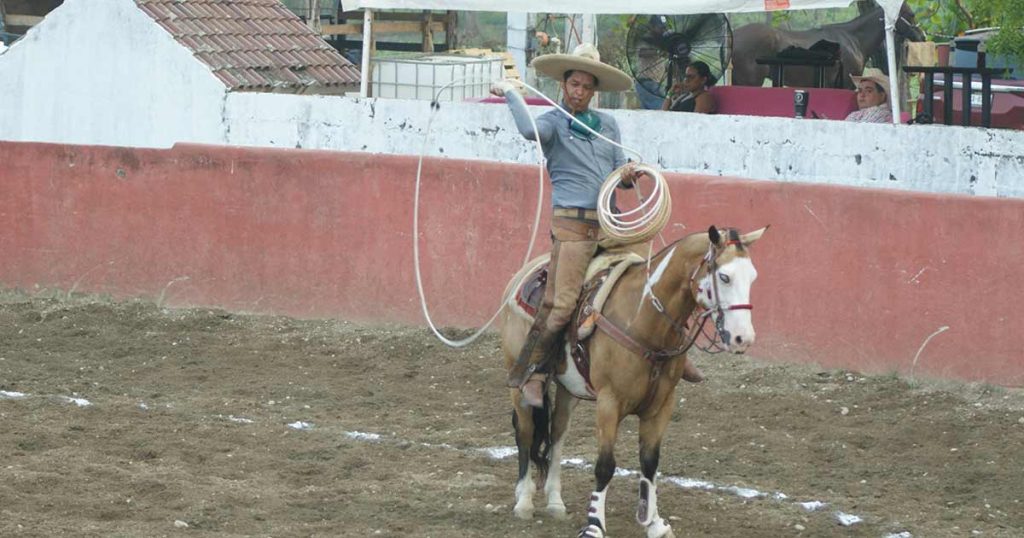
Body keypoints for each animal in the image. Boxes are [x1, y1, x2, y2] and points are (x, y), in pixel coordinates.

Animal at [499, 224, 765, 536]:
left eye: (753, 276)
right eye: (724, 276)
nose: (743, 338)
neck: (644, 321)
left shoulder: (662, 405)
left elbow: (650, 464)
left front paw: (654, 523)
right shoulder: (609, 402)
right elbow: (605, 466)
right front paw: (594, 525)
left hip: (568, 389)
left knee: (558, 435)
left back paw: (555, 502)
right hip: (518, 382)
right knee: (526, 433)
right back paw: (524, 500)